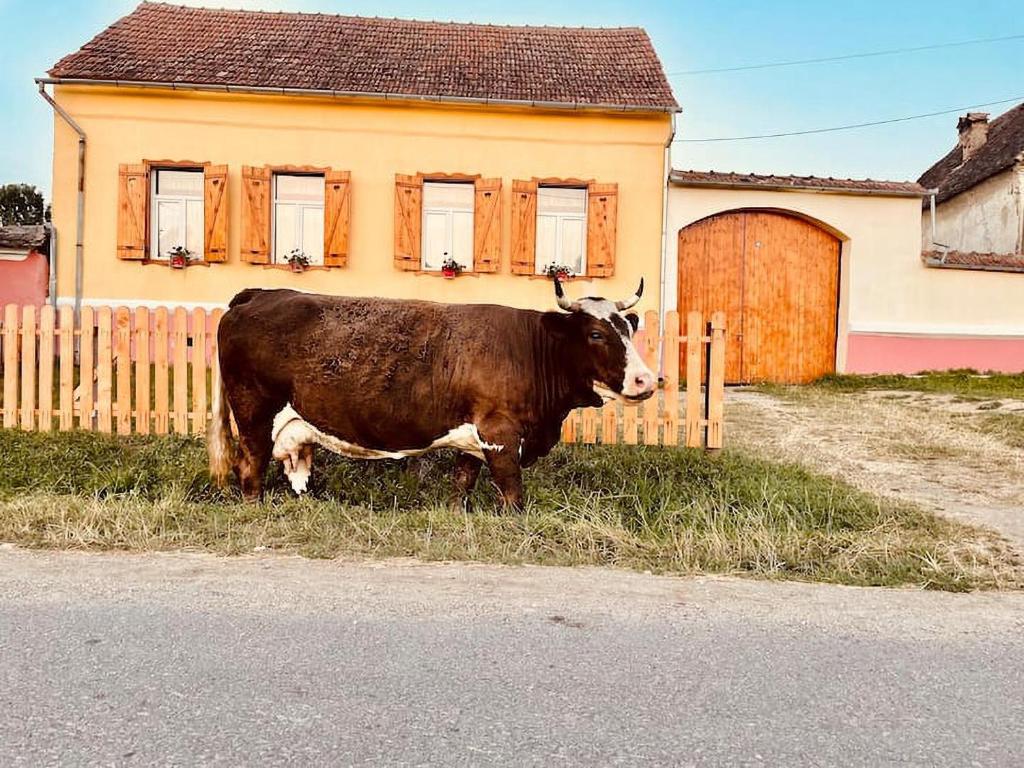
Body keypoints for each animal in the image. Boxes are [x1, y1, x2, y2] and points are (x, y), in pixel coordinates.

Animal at [208, 279, 656, 508]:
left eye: (628, 328)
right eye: (595, 333)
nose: (645, 380)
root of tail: (260, 293)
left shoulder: (473, 437)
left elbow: (462, 482)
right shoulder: (501, 435)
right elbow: (512, 493)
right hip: (254, 415)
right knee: (249, 468)